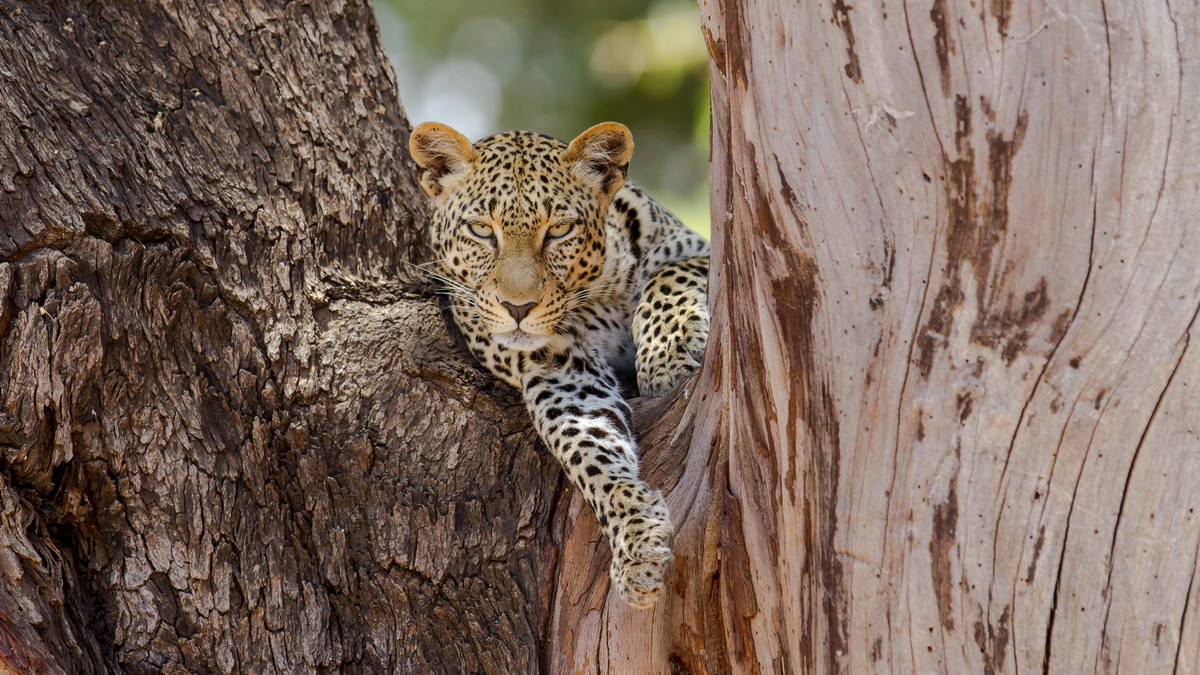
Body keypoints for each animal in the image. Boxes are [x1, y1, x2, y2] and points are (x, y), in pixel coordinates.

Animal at [408, 121, 709, 608]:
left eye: (560, 230)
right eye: (481, 230)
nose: (518, 308)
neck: (600, 295)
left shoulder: (700, 251)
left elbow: (670, 275)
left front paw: (667, 357)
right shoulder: (562, 371)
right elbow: (589, 448)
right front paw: (636, 542)